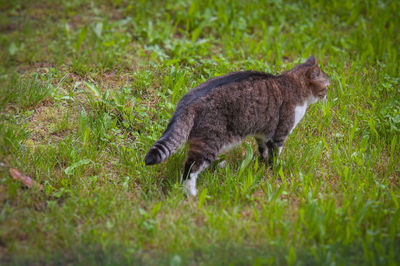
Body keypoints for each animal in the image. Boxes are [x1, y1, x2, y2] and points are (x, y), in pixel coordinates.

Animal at [145, 56, 330, 196]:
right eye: (326, 87)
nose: (327, 97)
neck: (293, 84)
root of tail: (187, 103)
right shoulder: (280, 133)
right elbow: (275, 153)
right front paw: (275, 168)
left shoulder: (263, 133)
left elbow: (263, 150)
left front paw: (262, 164)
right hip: (210, 142)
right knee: (190, 168)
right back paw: (191, 193)